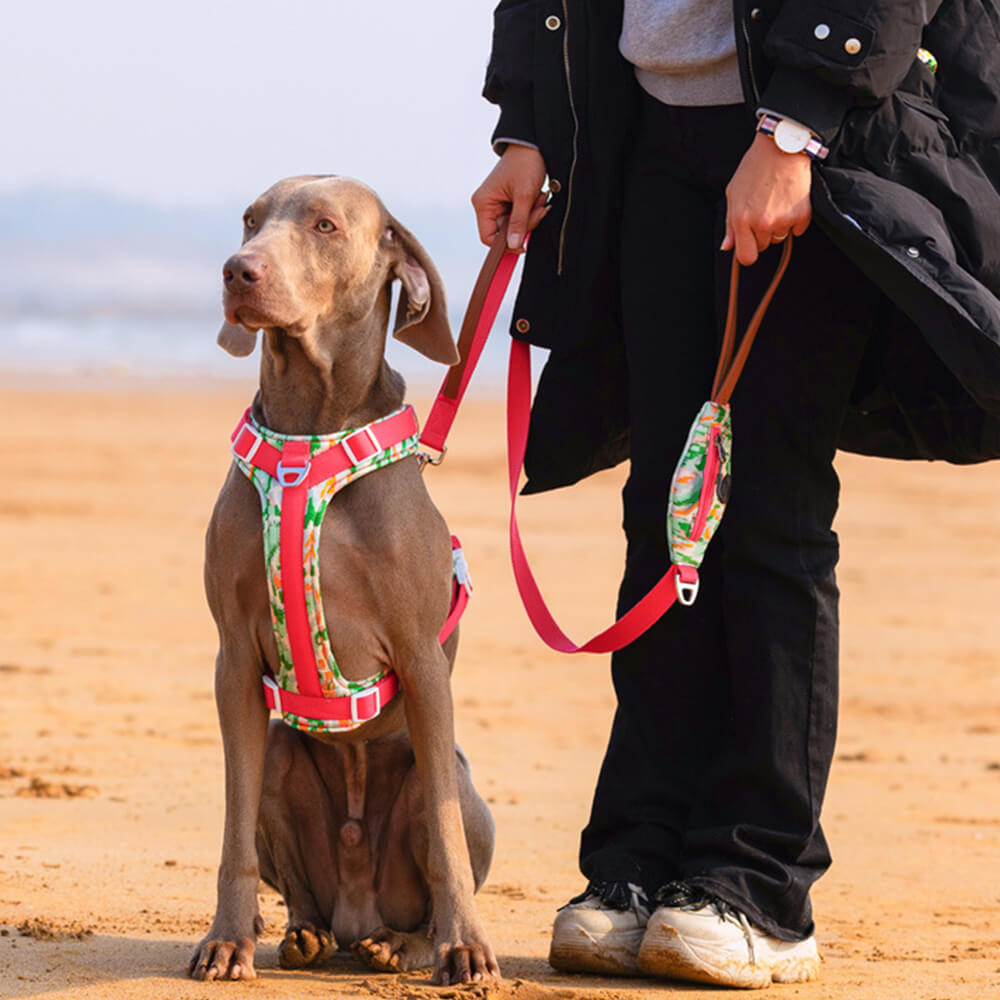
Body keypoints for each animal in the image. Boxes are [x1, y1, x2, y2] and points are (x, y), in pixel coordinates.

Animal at [187, 174, 496, 984]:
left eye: (324, 225)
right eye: (250, 220)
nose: (237, 272)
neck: (309, 431)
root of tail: (359, 909)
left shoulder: (422, 660)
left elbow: (446, 842)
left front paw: (465, 946)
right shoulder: (234, 659)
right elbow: (231, 832)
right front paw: (227, 938)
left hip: (446, 778)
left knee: (432, 859)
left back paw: (408, 945)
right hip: (280, 757)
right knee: (303, 890)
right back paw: (304, 935)